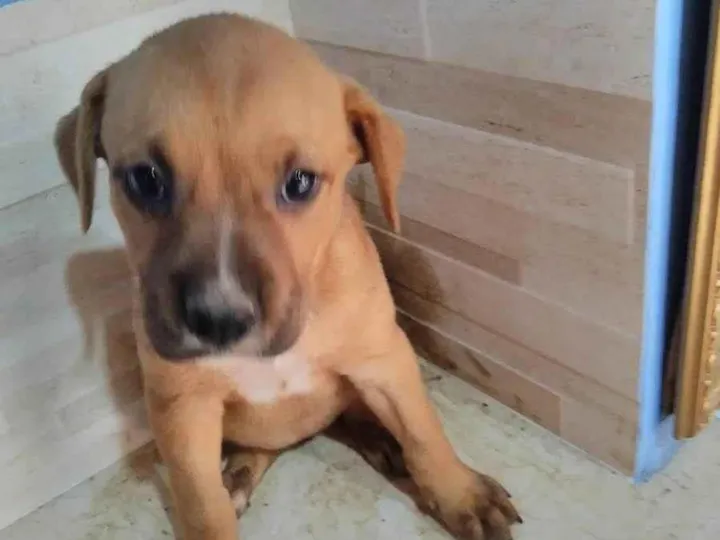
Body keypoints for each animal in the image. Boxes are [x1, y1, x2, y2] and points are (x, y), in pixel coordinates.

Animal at [54, 13, 521, 540]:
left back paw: (379, 439)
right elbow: (201, 504)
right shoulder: (183, 408)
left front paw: (461, 493)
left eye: (300, 183)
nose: (219, 320)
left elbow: (424, 432)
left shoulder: (384, 360)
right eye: (145, 179)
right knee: (266, 444)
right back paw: (241, 472)